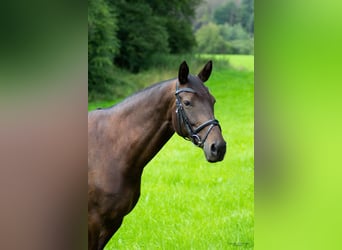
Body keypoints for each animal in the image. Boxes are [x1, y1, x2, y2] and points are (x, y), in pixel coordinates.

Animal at [88, 60, 227, 248]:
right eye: (187, 102)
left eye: (213, 101)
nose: (218, 147)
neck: (109, 149)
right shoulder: (93, 223)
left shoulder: (113, 222)